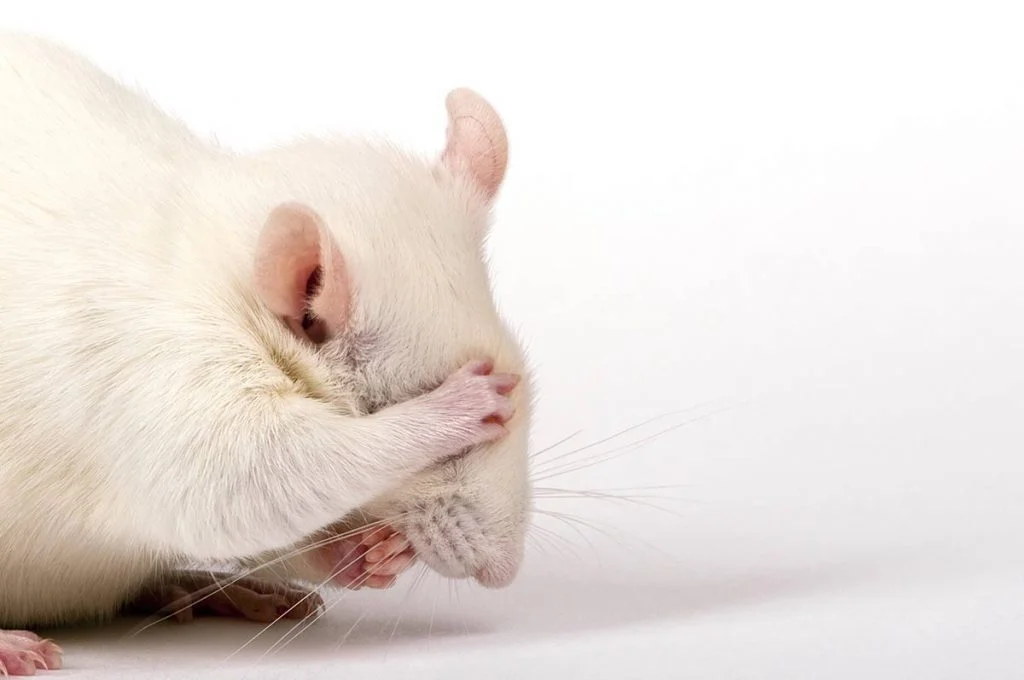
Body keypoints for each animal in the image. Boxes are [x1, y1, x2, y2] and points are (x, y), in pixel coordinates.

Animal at [0, 31, 532, 675]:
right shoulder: (164, 375)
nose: (505, 571)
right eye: (411, 398)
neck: (231, 272)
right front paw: (453, 410)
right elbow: (245, 483)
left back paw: (208, 588)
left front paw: (362, 554)